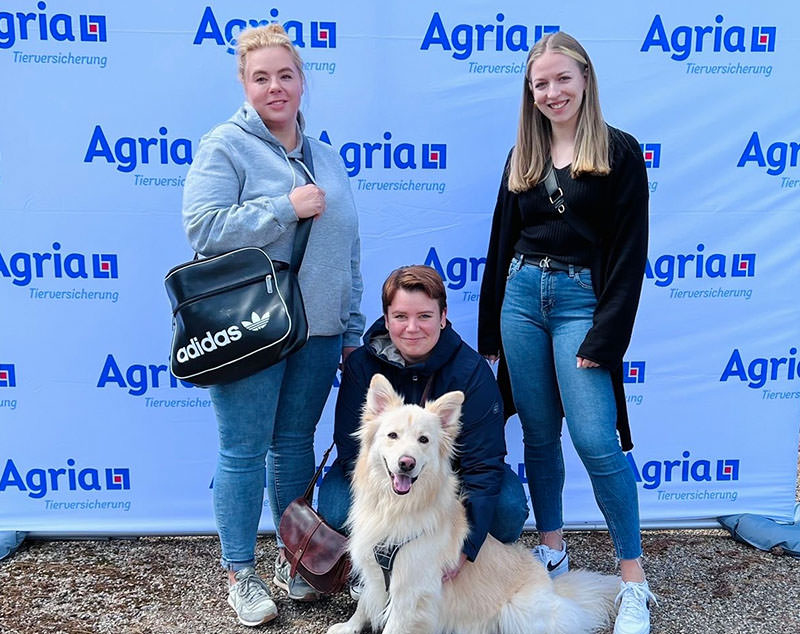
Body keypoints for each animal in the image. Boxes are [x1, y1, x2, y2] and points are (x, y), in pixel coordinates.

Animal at [324, 372, 620, 632]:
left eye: (423, 439)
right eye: (392, 435)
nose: (406, 463)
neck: (395, 507)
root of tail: (554, 590)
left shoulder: (411, 591)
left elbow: (394, 625)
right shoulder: (375, 570)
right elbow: (364, 603)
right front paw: (349, 627)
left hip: (516, 612)